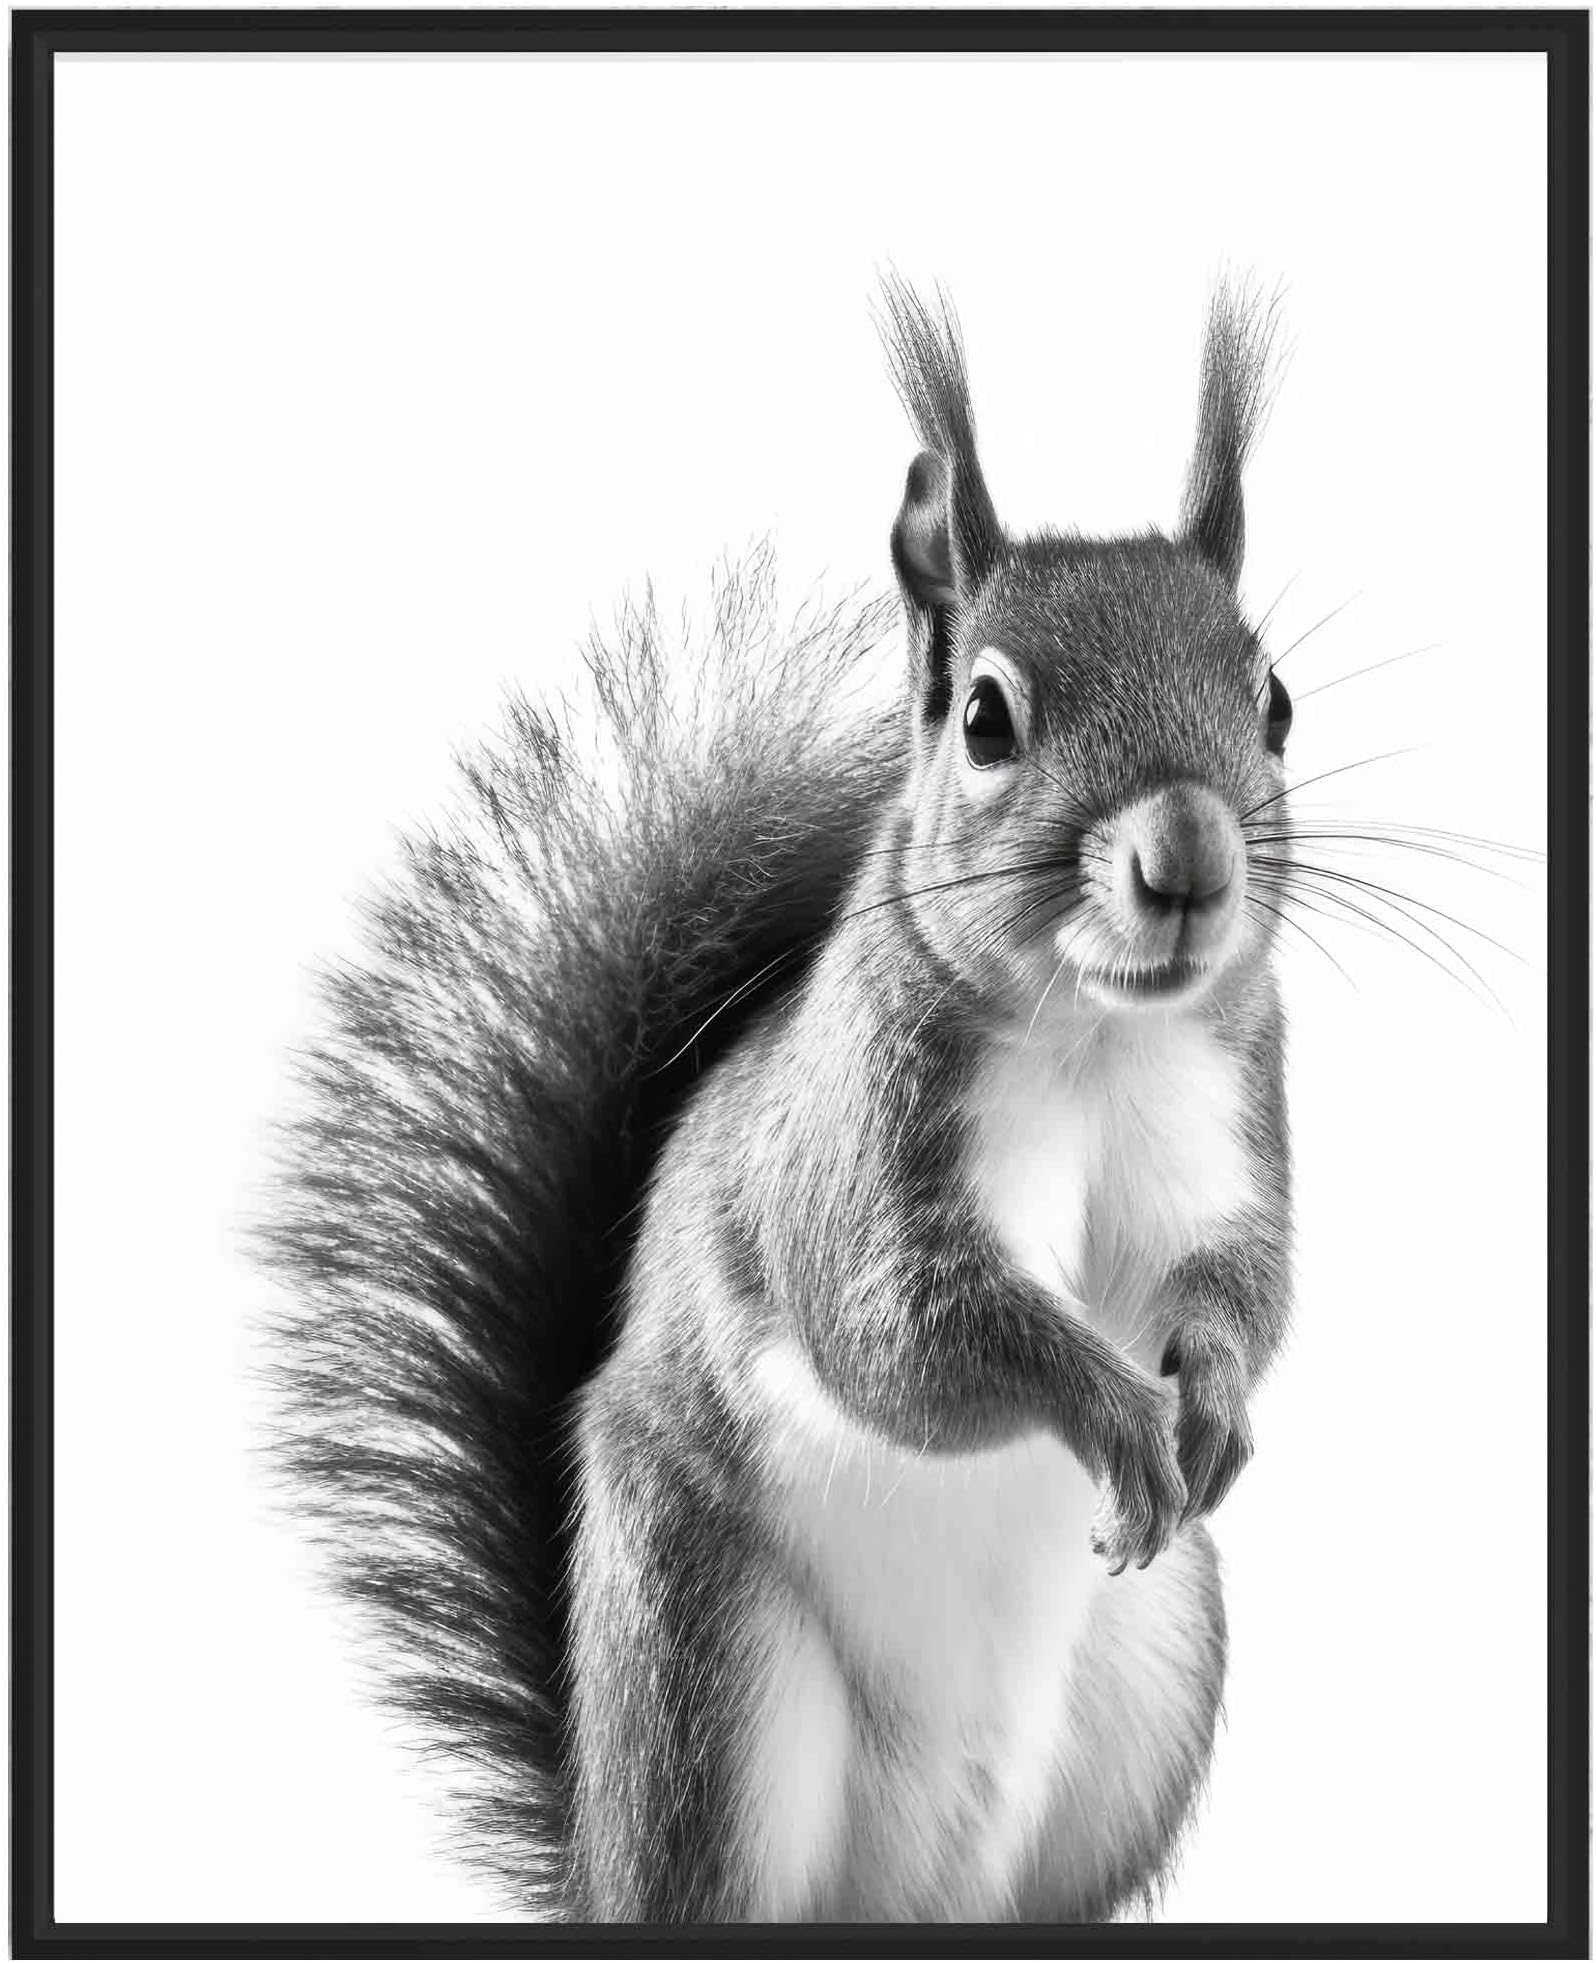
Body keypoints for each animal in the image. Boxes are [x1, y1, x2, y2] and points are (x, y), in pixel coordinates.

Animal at [264, 277, 1293, 1923]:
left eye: (1274, 701)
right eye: (986, 719)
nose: (1188, 856)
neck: (1096, 1038)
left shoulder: (1229, 1114)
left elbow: (1242, 1283)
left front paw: (1215, 1397)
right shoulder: (857, 1149)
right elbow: (906, 1330)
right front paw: (1114, 1409)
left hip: (1152, 1685)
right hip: (711, 1675)